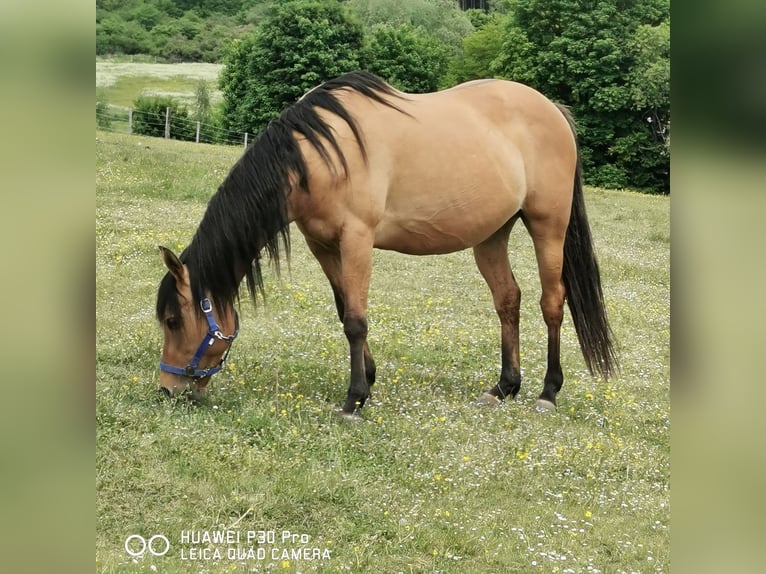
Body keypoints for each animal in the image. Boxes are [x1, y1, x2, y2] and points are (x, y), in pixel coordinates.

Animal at [155, 71, 617, 418]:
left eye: (174, 320)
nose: (166, 389)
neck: (320, 154)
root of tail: (553, 110)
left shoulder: (357, 239)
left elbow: (357, 320)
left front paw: (354, 399)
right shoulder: (323, 245)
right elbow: (344, 311)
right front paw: (370, 381)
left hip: (548, 227)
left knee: (552, 302)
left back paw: (547, 392)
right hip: (491, 236)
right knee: (508, 300)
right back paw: (504, 387)